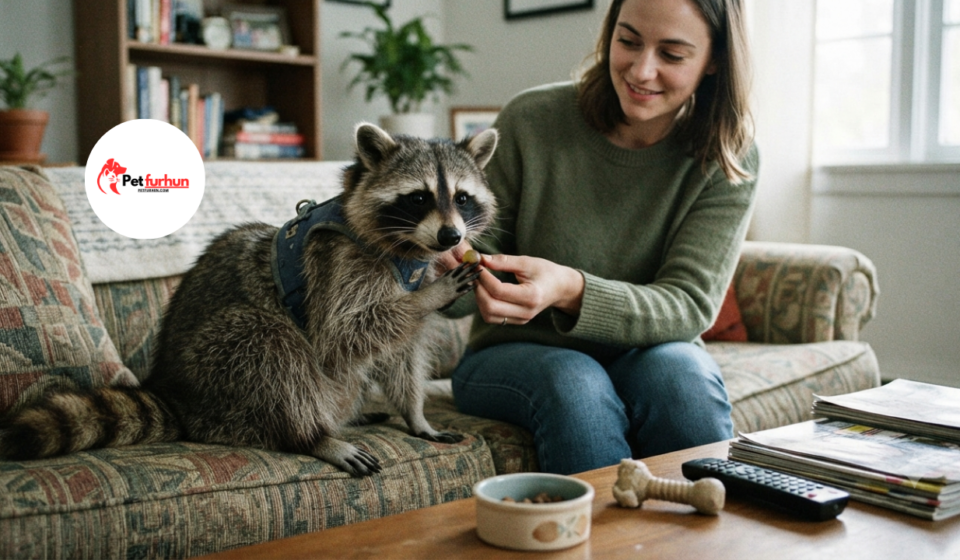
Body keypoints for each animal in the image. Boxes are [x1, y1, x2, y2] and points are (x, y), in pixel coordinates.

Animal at [0, 123, 499, 477]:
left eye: (461, 197)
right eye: (418, 198)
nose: (451, 237)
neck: (407, 251)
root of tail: (175, 391)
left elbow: (402, 355)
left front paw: (415, 415)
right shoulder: (341, 268)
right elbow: (344, 334)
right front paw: (429, 296)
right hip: (221, 368)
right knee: (272, 347)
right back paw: (311, 435)